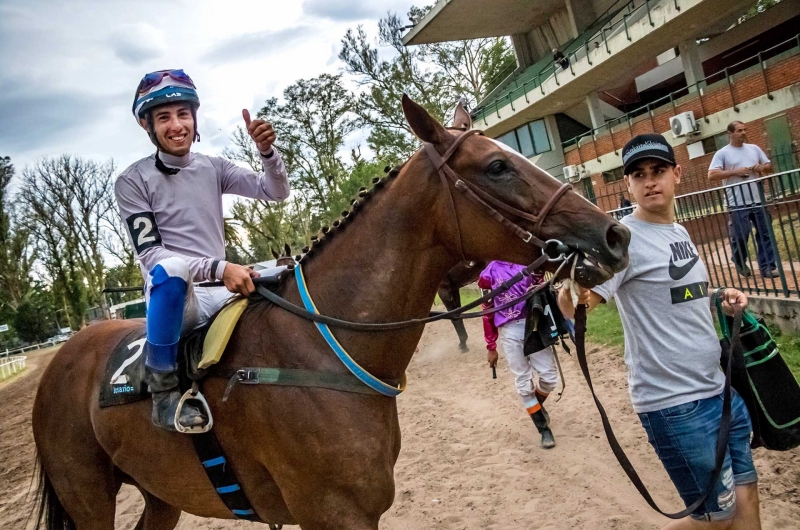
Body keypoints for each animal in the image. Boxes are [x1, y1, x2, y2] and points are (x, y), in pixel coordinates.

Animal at [32, 96, 632, 528]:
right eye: (498, 166)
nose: (614, 235)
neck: (318, 351)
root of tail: (61, 360)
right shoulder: (332, 513)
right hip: (88, 497)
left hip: (159, 493)